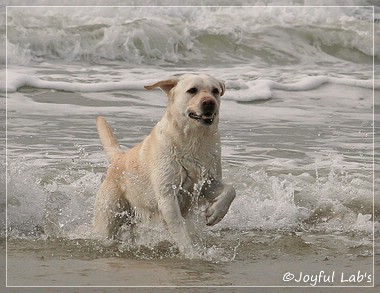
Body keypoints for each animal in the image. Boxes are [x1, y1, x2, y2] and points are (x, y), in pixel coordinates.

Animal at [93, 73, 235, 256]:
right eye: (192, 90)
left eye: (215, 91)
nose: (209, 102)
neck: (193, 140)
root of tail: (119, 157)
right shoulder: (167, 195)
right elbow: (179, 228)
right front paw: (191, 252)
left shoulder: (206, 184)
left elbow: (231, 190)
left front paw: (216, 213)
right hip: (109, 214)